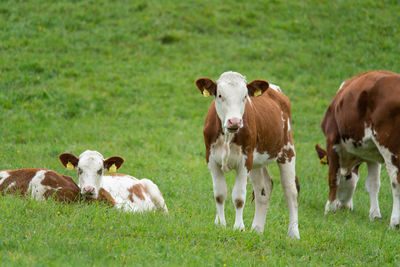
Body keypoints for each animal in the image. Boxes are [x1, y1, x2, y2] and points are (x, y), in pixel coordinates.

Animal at [195, 70, 298, 239]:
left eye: (245, 96)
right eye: (220, 95)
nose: (234, 121)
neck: (228, 136)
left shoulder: (245, 162)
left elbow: (238, 197)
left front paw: (238, 227)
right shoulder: (211, 159)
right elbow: (220, 194)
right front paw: (221, 224)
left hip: (287, 150)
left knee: (291, 191)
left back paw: (294, 233)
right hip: (257, 162)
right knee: (264, 189)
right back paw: (257, 230)